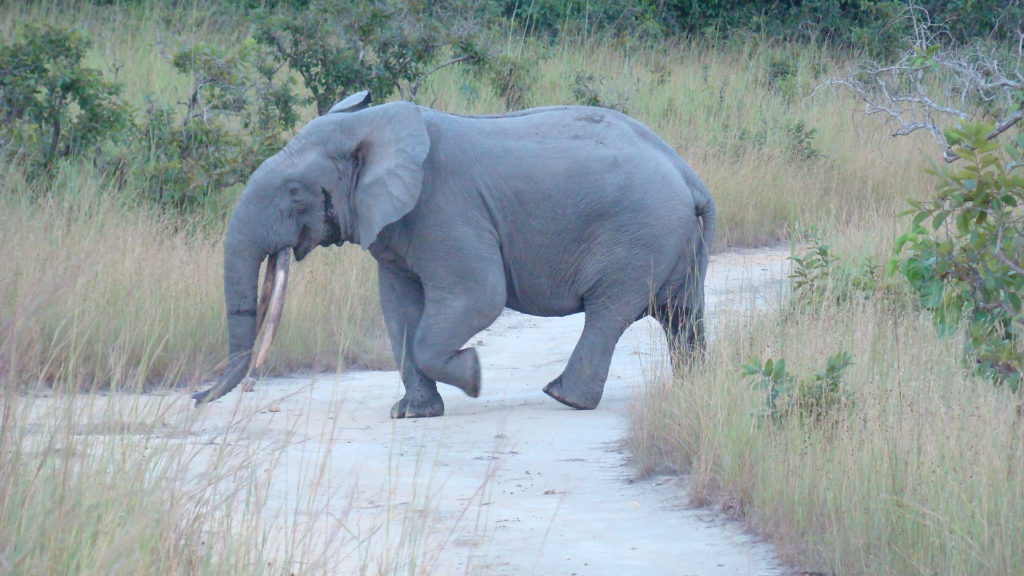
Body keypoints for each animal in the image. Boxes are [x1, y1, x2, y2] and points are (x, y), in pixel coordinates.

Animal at [193, 89, 720, 416]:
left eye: (294, 192)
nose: (197, 396)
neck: (373, 124)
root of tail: (689, 175)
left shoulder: (445, 207)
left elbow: (479, 297)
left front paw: (474, 375)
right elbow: (399, 310)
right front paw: (411, 414)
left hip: (638, 236)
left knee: (609, 311)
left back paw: (563, 397)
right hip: (675, 241)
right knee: (681, 314)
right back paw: (692, 391)